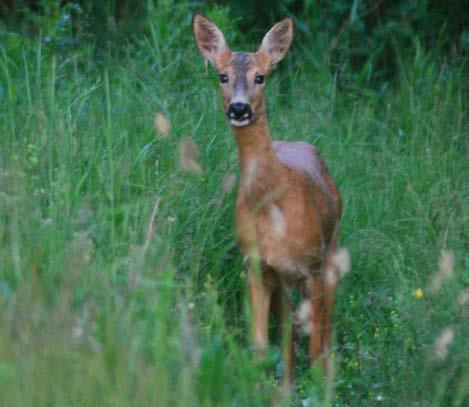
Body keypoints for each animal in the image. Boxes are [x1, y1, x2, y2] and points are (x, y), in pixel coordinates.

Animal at [192, 14, 342, 388]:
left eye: (261, 77)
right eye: (222, 76)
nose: (239, 108)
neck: (274, 206)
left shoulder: (313, 267)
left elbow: (316, 349)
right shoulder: (256, 267)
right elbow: (260, 351)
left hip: (331, 251)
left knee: (325, 336)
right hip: (282, 282)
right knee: (288, 340)